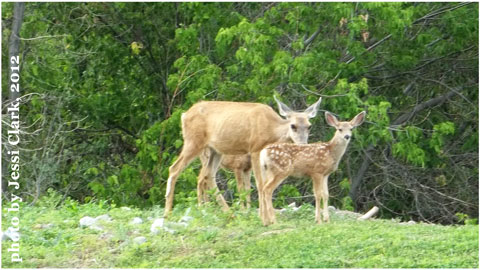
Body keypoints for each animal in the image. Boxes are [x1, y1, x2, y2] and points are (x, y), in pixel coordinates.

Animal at [164, 96, 322, 218]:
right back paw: (168, 213)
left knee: (208, 175)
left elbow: (254, 186)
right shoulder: (254, 149)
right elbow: (259, 184)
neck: (271, 130)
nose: (303, 144)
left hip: (215, 150)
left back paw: (228, 212)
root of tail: (184, 115)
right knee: (174, 169)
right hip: (193, 142)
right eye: (293, 126)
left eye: (309, 126)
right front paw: (262, 216)